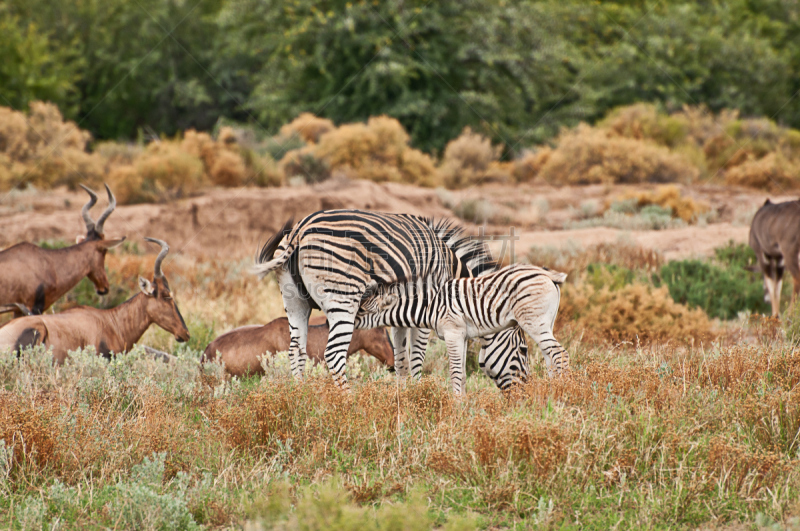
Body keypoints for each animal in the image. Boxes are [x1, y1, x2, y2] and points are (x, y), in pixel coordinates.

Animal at [252, 211, 524, 390]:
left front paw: (402, 396)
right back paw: (347, 404)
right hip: (343, 299)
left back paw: (301, 398)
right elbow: (416, 358)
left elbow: (401, 358)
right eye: (523, 350)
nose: (526, 392)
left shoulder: (402, 311)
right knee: (335, 354)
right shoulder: (427, 308)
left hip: (295, 302)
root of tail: (299, 231)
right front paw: (418, 395)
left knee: (296, 351)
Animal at [356, 264, 568, 394]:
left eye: (363, 310)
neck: (430, 305)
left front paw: (456, 409)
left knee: (559, 353)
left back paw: (563, 393)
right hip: (546, 323)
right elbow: (464, 374)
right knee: (549, 356)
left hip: (534, 322)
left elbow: (455, 373)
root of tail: (547, 273)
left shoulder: (453, 333)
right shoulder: (464, 336)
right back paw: (551, 393)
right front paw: (464, 406)